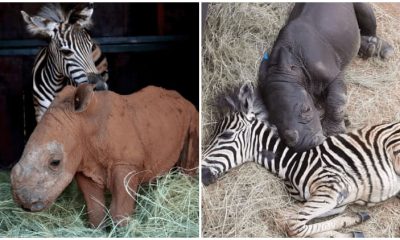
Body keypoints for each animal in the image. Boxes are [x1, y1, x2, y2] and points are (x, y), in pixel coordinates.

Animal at [11, 83, 200, 228]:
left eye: (55, 162)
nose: (23, 203)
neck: (84, 123)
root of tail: (183, 99)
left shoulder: (125, 163)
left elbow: (120, 209)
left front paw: (121, 231)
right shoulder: (85, 166)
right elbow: (95, 207)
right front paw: (98, 229)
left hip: (193, 115)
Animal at [202, 83, 400, 238]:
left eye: (226, 135)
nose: (201, 175)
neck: (292, 162)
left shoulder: (332, 189)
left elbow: (294, 225)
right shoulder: (337, 201)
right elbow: (296, 220)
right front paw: (353, 223)